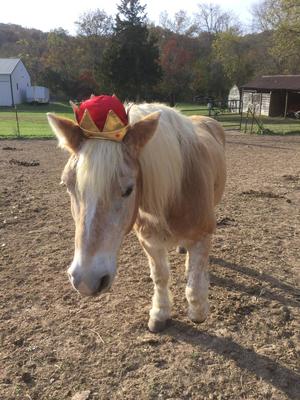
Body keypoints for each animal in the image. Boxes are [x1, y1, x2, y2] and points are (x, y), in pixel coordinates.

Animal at [47, 102, 225, 332]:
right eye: (67, 185)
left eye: (129, 189)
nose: (86, 280)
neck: (176, 191)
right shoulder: (148, 241)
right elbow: (160, 276)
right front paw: (160, 313)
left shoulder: (203, 235)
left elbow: (195, 278)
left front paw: (198, 311)